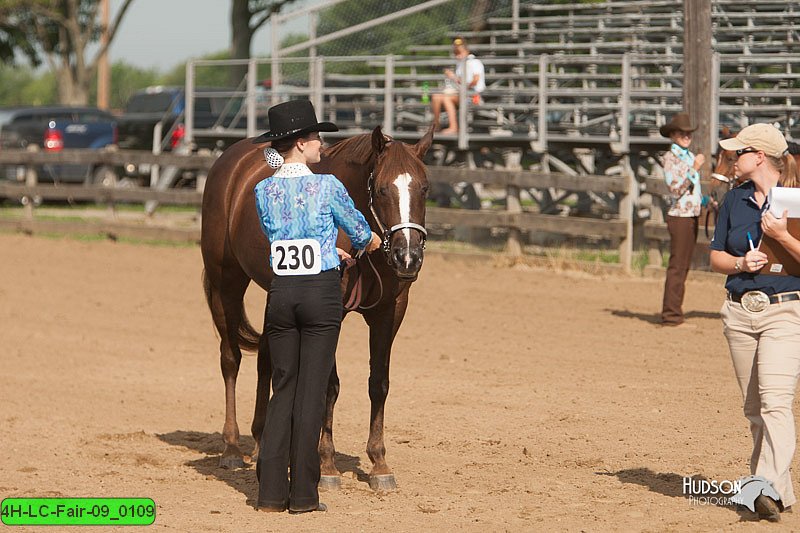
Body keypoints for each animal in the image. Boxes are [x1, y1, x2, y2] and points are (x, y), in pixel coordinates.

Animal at [203, 124, 434, 490]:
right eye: (382, 189)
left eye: (424, 188)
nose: (408, 257)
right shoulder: (330, 311)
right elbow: (329, 384)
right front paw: (326, 466)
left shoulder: (391, 311)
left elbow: (379, 383)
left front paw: (379, 464)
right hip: (226, 283)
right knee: (230, 359)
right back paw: (231, 447)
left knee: (267, 361)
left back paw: (261, 444)